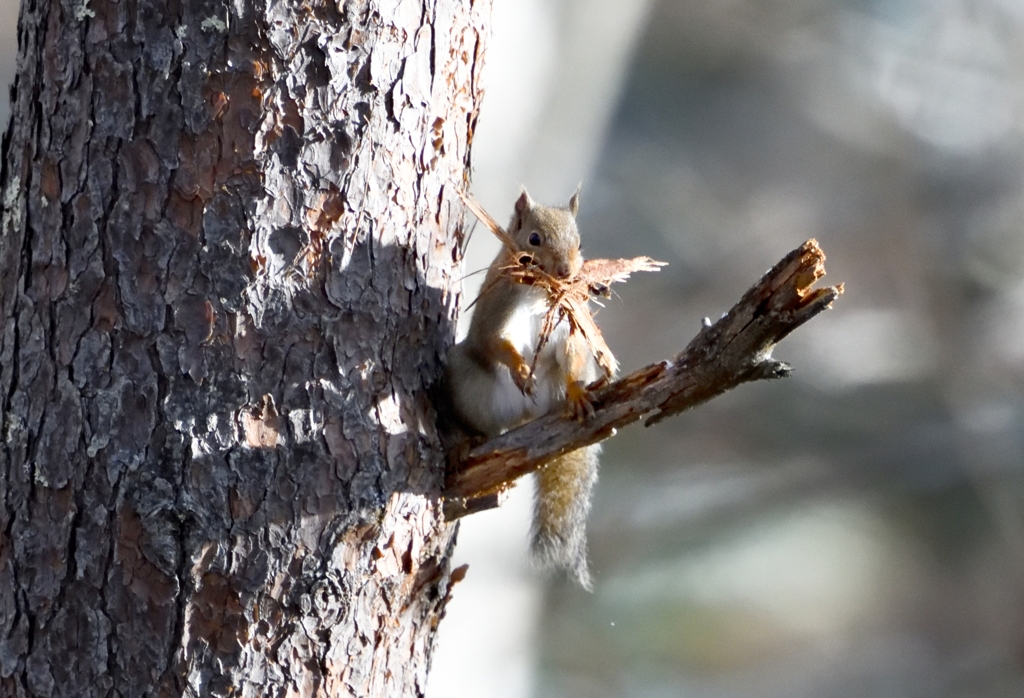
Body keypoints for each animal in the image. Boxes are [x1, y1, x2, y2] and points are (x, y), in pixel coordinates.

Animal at [442, 189, 602, 585]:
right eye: (533, 239)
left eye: (579, 242)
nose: (565, 272)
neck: (540, 292)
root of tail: (529, 416)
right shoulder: (497, 308)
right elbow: (495, 342)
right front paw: (518, 366)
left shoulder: (568, 321)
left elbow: (571, 353)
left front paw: (578, 392)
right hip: (467, 383)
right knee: (486, 431)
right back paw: (469, 443)